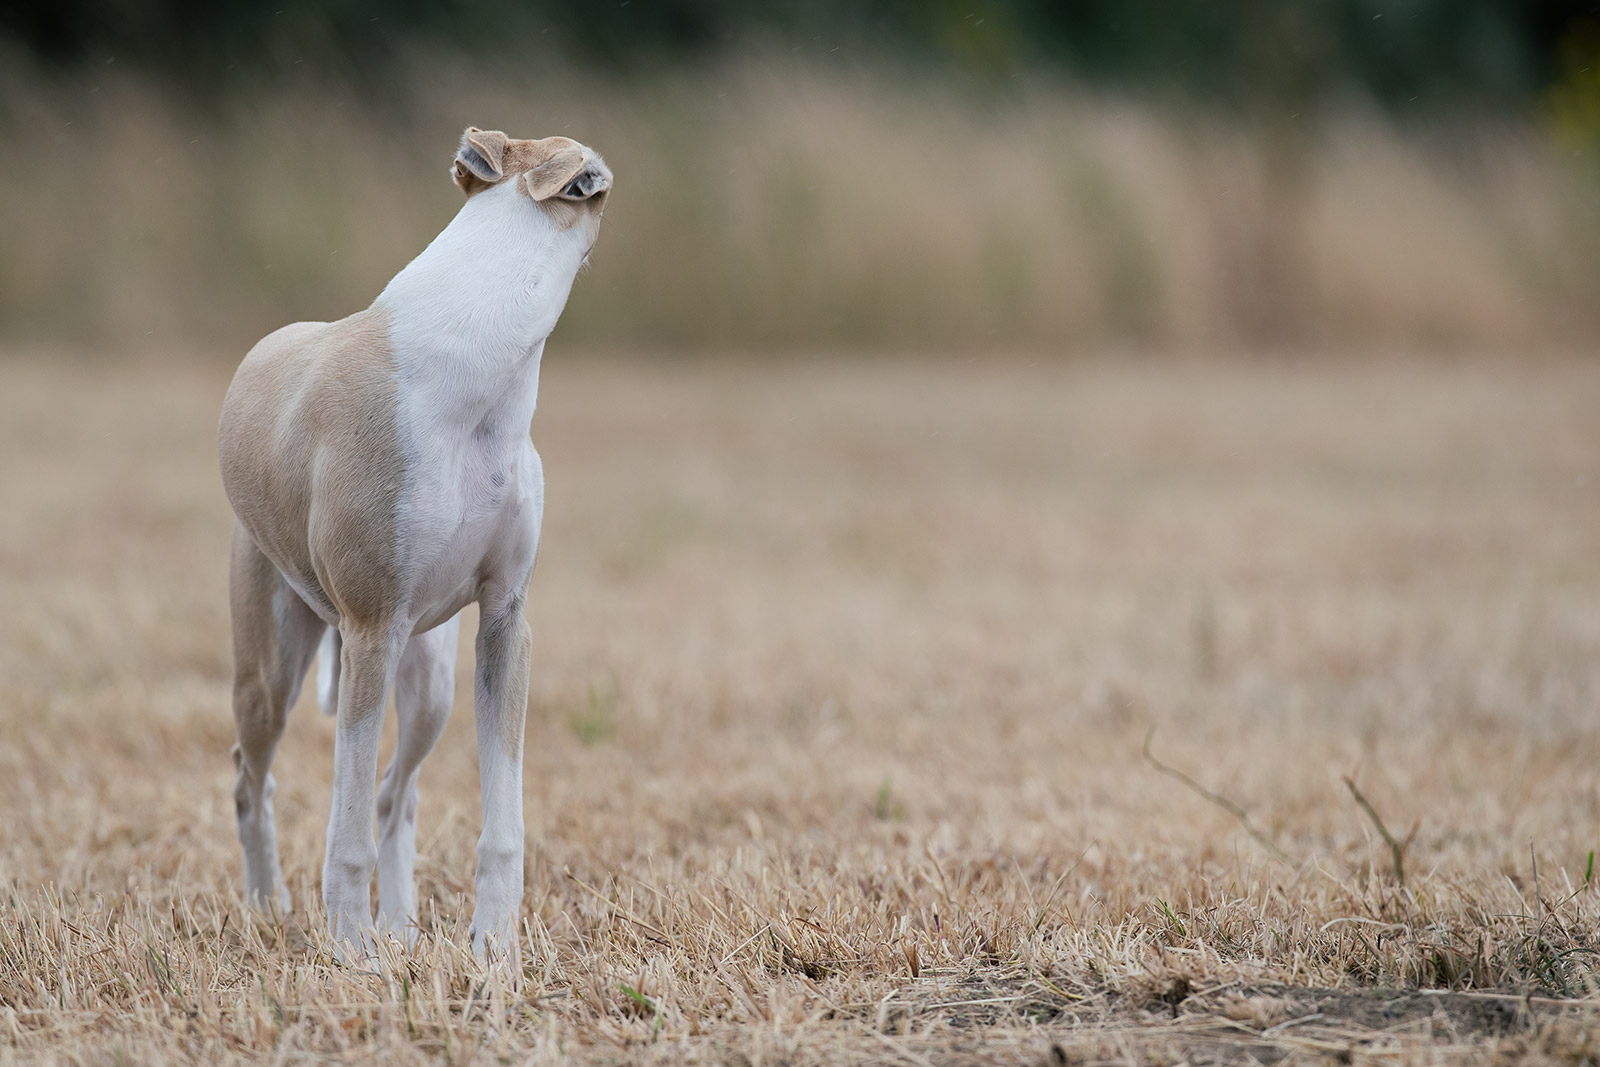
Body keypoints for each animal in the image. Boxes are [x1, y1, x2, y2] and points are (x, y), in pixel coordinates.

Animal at [217, 127, 611, 960]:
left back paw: (399, 925)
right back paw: (271, 906)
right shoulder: (370, 629)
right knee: (252, 777)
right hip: (275, 662)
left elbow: (499, 821)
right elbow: (344, 834)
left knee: (397, 791)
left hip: (429, 679)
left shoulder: (503, 624)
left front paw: (494, 951)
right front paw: (351, 956)